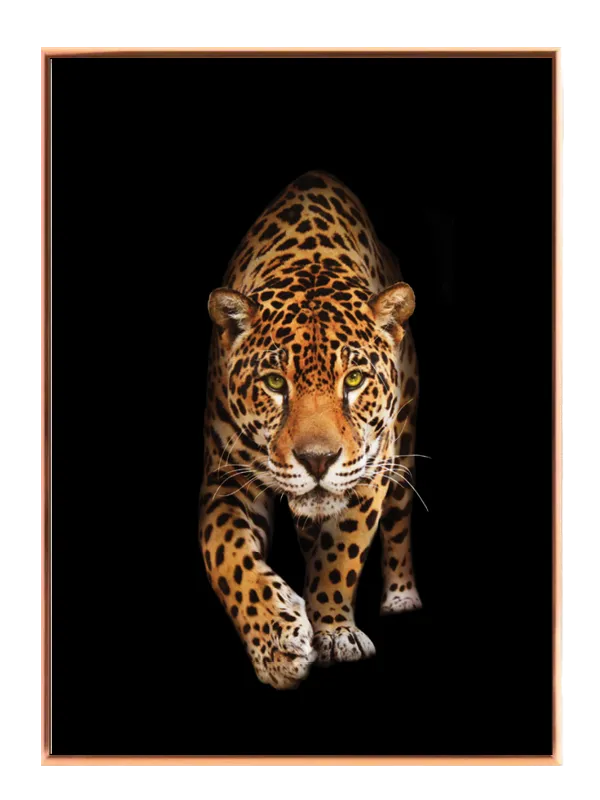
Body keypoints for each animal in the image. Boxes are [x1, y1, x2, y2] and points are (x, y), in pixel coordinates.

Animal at [199, 170, 422, 689]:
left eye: (354, 380)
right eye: (275, 383)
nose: (317, 460)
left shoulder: (371, 470)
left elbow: (341, 554)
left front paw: (334, 632)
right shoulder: (225, 478)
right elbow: (226, 555)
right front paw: (277, 644)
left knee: (399, 522)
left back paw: (402, 597)